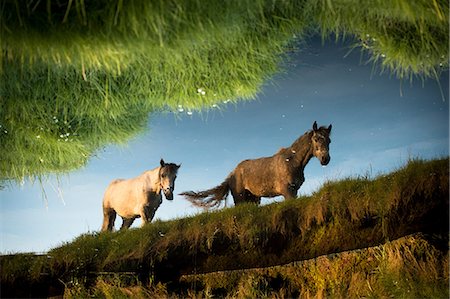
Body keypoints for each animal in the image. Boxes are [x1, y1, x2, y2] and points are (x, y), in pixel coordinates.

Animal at [181, 122, 332, 209]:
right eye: (316, 139)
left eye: (329, 140)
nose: (325, 159)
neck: (292, 161)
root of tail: (232, 173)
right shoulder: (288, 192)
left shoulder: (294, 191)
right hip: (240, 198)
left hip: (253, 198)